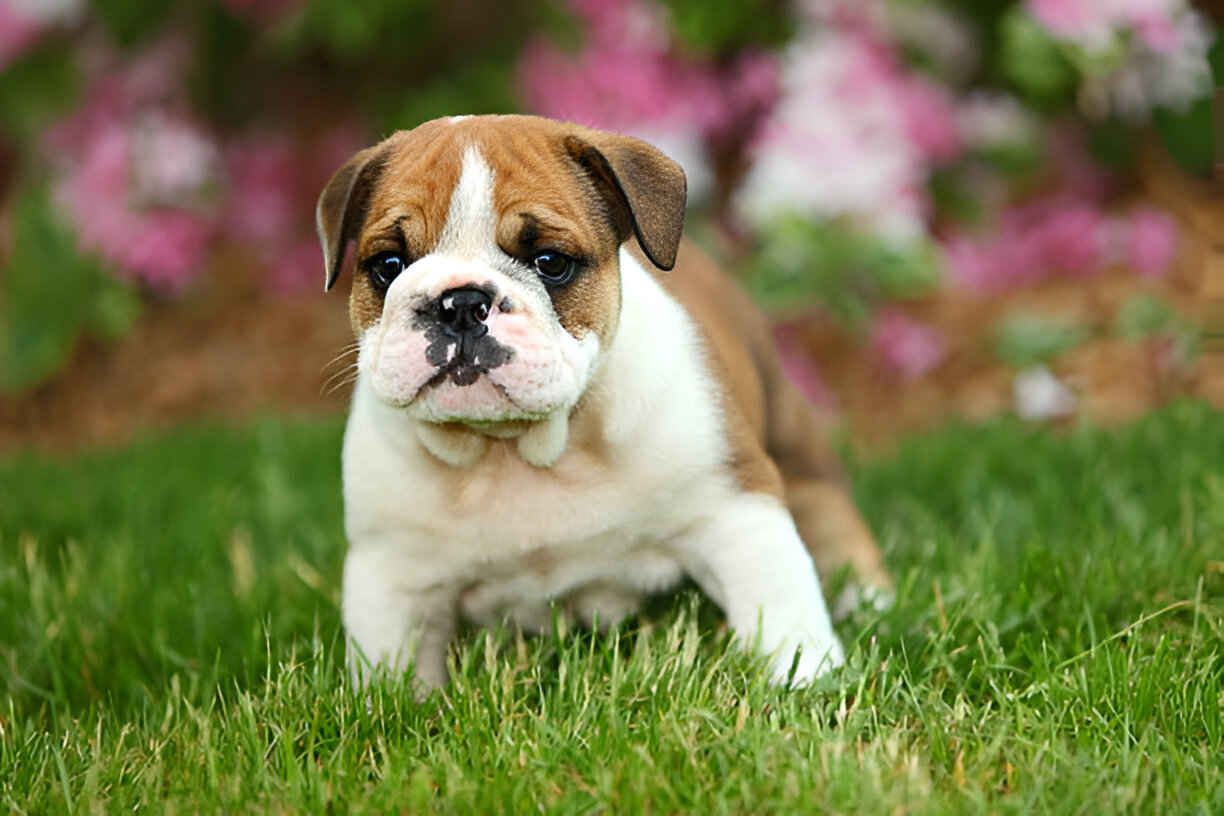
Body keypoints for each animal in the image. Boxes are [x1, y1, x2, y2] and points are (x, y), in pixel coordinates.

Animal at [315, 111, 891, 694]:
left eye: (550, 262)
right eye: (388, 264)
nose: (460, 302)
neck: (516, 448)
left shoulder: (733, 510)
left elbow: (782, 610)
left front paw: (808, 682)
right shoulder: (392, 571)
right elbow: (391, 667)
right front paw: (397, 705)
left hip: (794, 445)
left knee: (828, 511)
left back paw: (870, 599)